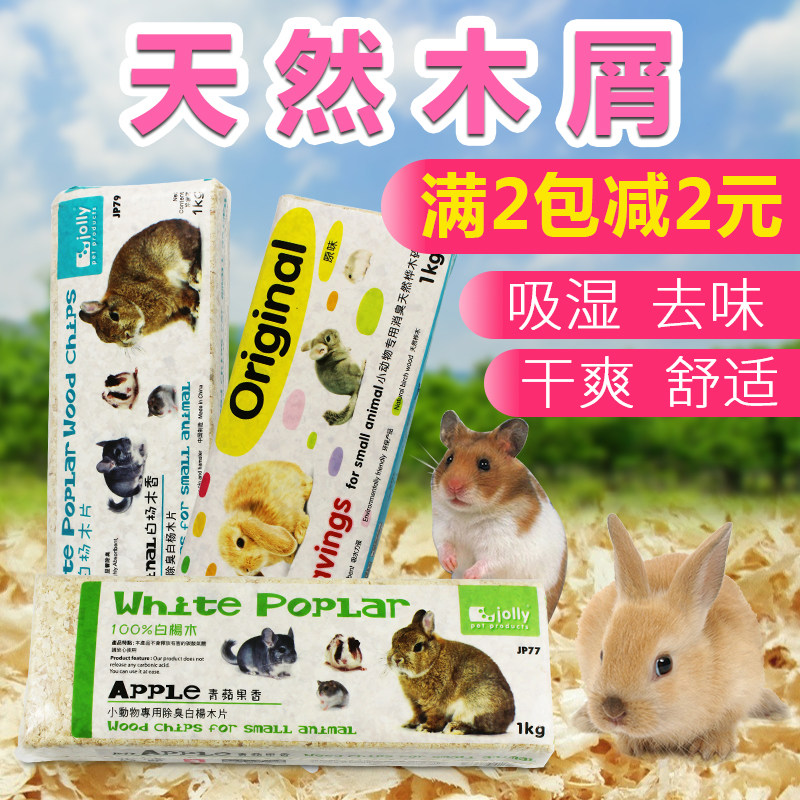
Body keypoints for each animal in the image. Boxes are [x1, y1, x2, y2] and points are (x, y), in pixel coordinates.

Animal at [79, 218, 201, 346]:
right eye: (111, 340)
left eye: (114, 316)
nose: (127, 337)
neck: (129, 299)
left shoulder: (168, 294)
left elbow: (187, 295)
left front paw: (196, 309)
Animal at [386, 609, 515, 735]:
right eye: (392, 642)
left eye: (417, 647)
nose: (396, 659)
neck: (434, 660)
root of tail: (506, 723)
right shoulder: (415, 703)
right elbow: (418, 715)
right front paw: (410, 724)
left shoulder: (435, 703)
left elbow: (435, 718)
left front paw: (425, 728)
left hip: (476, 704)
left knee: (477, 726)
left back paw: (454, 728)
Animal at [431, 410, 567, 620]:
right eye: (449, 459)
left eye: (484, 464)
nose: (453, 486)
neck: (469, 514)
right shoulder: (442, 526)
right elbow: (444, 546)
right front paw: (451, 565)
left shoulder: (502, 542)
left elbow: (488, 561)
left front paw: (468, 576)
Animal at [573, 514, 789, 760]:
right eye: (602, 654)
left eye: (664, 664)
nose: (612, 711)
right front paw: (633, 745)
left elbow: (725, 723)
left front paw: (712, 749)